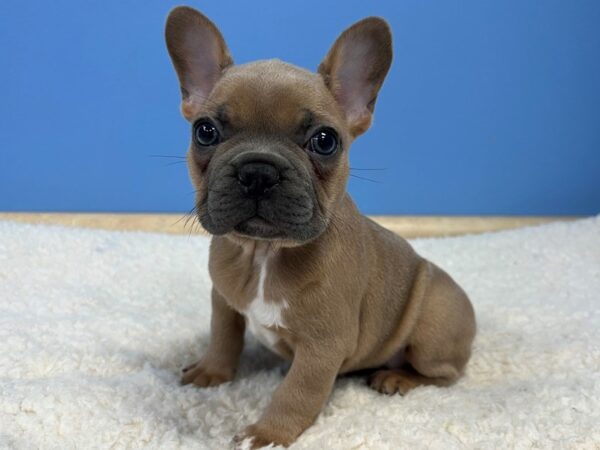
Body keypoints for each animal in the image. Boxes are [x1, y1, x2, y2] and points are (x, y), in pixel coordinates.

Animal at [166, 5, 476, 448]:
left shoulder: (322, 347)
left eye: (325, 140)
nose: (258, 171)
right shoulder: (223, 300)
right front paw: (212, 372)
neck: (263, 254)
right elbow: (223, 337)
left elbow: (297, 392)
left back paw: (397, 378)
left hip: (434, 325)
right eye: (205, 131)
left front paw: (268, 433)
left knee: (444, 374)